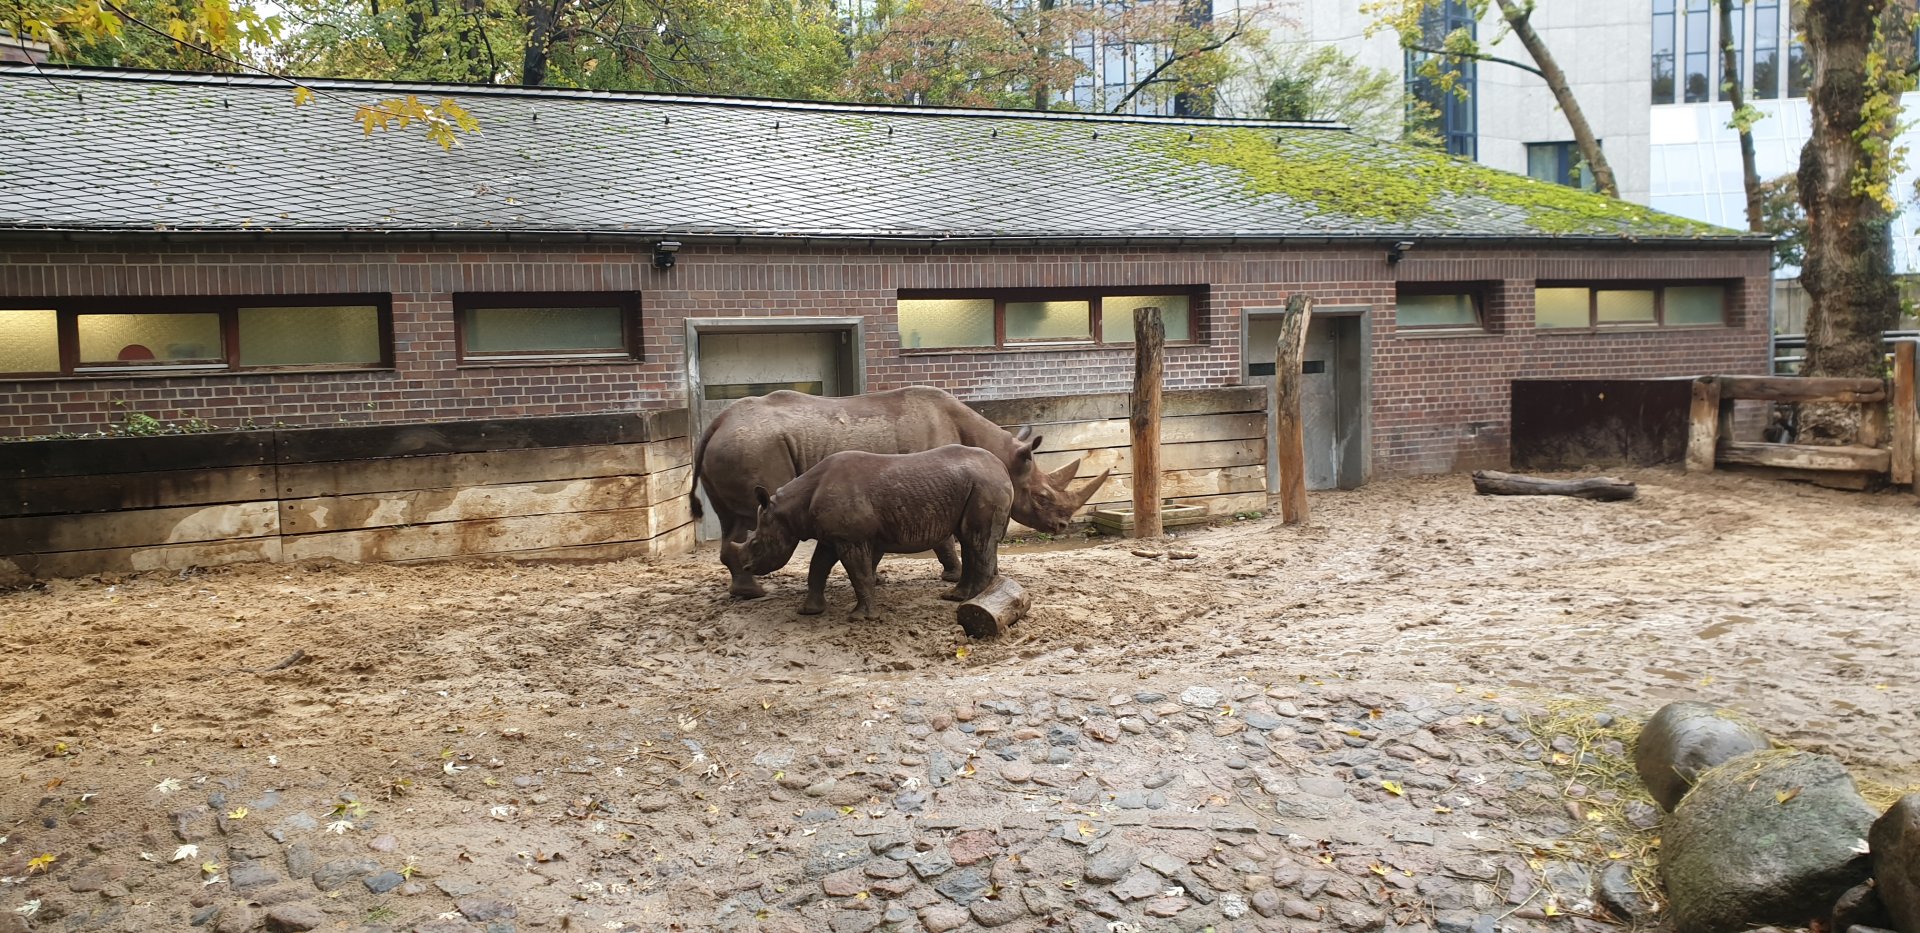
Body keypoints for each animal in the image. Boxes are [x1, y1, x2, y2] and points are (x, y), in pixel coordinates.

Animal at [690, 386, 1110, 598]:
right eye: (1042, 497)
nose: (1062, 526)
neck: (998, 450)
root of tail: (716, 422)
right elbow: (944, 538)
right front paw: (951, 575)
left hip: (738, 444)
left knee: (734, 519)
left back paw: (748, 590)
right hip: (753, 446)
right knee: (750, 514)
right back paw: (755, 592)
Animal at [737, 445, 1011, 619]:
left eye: (756, 543)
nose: (747, 567)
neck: (789, 509)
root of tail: (1002, 467)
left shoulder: (850, 539)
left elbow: (859, 574)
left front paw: (860, 618)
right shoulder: (831, 537)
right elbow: (818, 568)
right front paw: (808, 612)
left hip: (986, 485)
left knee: (976, 540)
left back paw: (974, 601)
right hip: (978, 484)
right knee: (971, 540)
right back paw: (958, 597)